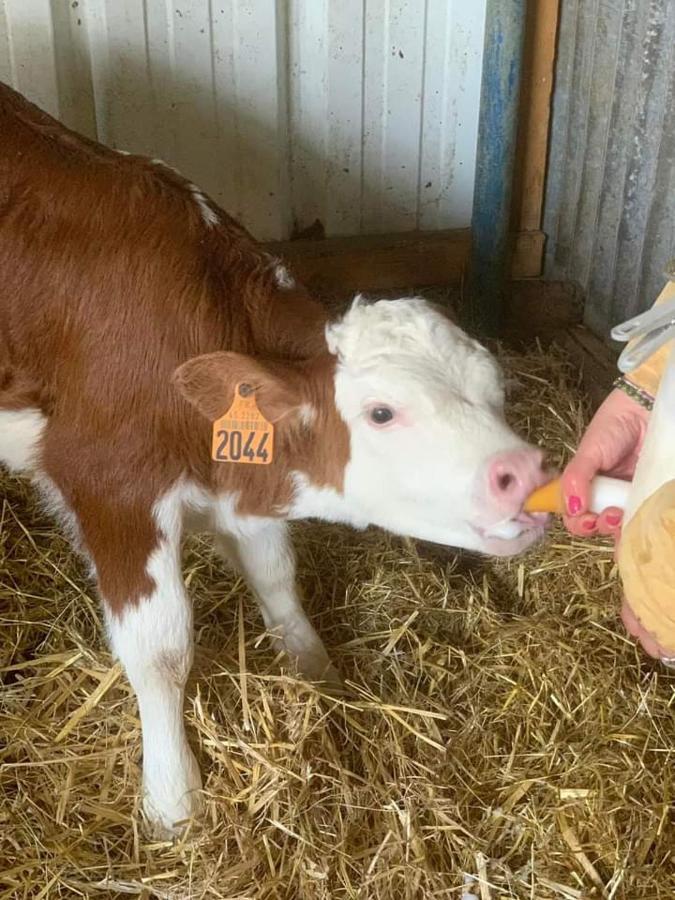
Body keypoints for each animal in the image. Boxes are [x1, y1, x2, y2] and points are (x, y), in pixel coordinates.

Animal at [0, 82, 548, 828]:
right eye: (381, 412)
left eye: (496, 391)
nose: (525, 473)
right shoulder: (110, 483)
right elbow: (160, 648)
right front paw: (173, 797)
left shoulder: (240, 472)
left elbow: (276, 573)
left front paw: (316, 672)